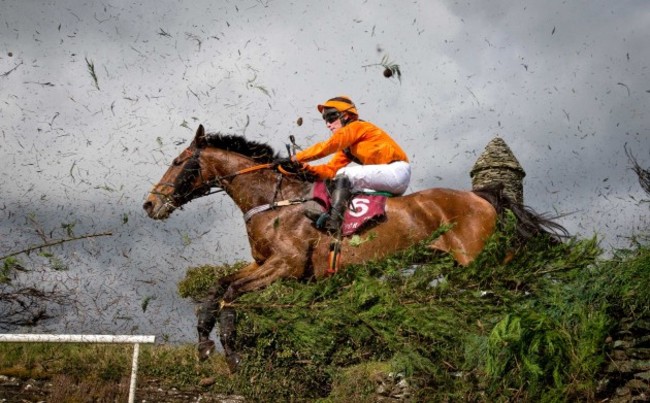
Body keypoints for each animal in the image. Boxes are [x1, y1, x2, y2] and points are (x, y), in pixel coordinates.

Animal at [142, 124, 560, 372]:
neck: (275, 200)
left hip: (482, 262)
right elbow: (218, 290)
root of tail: (484, 196)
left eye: (177, 162)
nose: (149, 204)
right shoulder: (263, 263)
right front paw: (205, 344)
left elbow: (230, 294)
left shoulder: (286, 266)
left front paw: (229, 351)